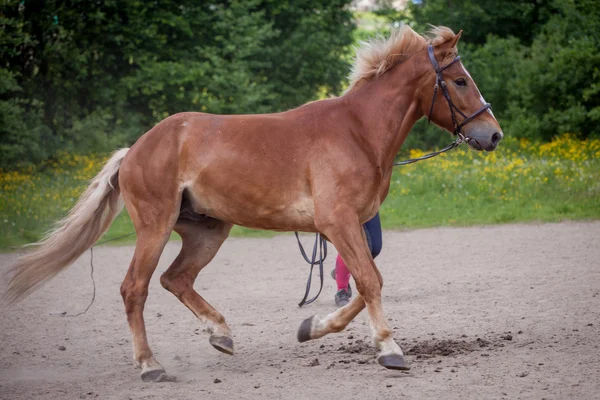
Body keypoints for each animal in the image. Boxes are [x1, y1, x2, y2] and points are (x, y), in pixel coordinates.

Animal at [4, 25, 502, 382]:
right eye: (460, 81)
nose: (493, 134)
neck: (358, 132)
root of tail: (136, 149)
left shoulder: (352, 226)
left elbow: (365, 284)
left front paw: (311, 328)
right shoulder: (338, 222)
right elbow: (371, 281)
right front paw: (389, 349)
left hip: (207, 231)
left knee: (175, 279)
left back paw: (220, 336)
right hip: (155, 227)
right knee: (135, 289)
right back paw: (150, 365)